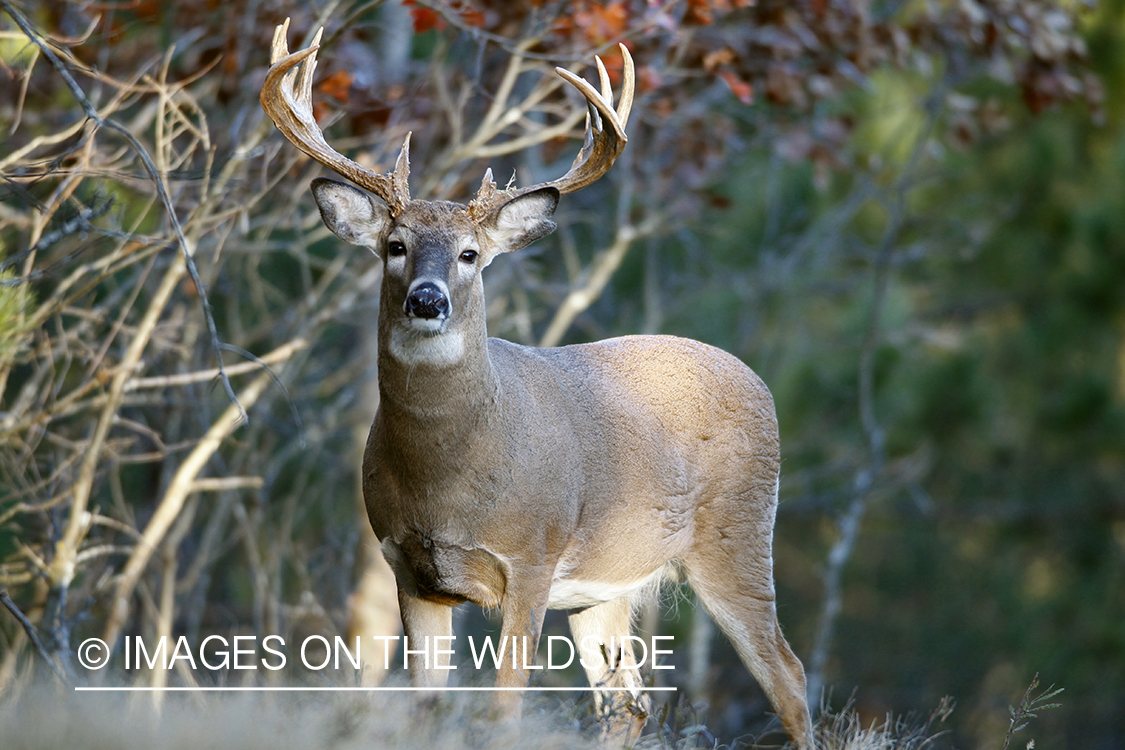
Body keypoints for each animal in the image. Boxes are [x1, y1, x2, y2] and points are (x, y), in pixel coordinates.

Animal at [261, 19, 810, 750]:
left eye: (469, 254)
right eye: (395, 246)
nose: (428, 300)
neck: (447, 478)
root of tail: (759, 382)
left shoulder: (530, 559)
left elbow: (503, 711)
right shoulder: (409, 567)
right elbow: (425, 707)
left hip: (738, 535)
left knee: (788, 677)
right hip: (606, 586)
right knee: (629, 702)